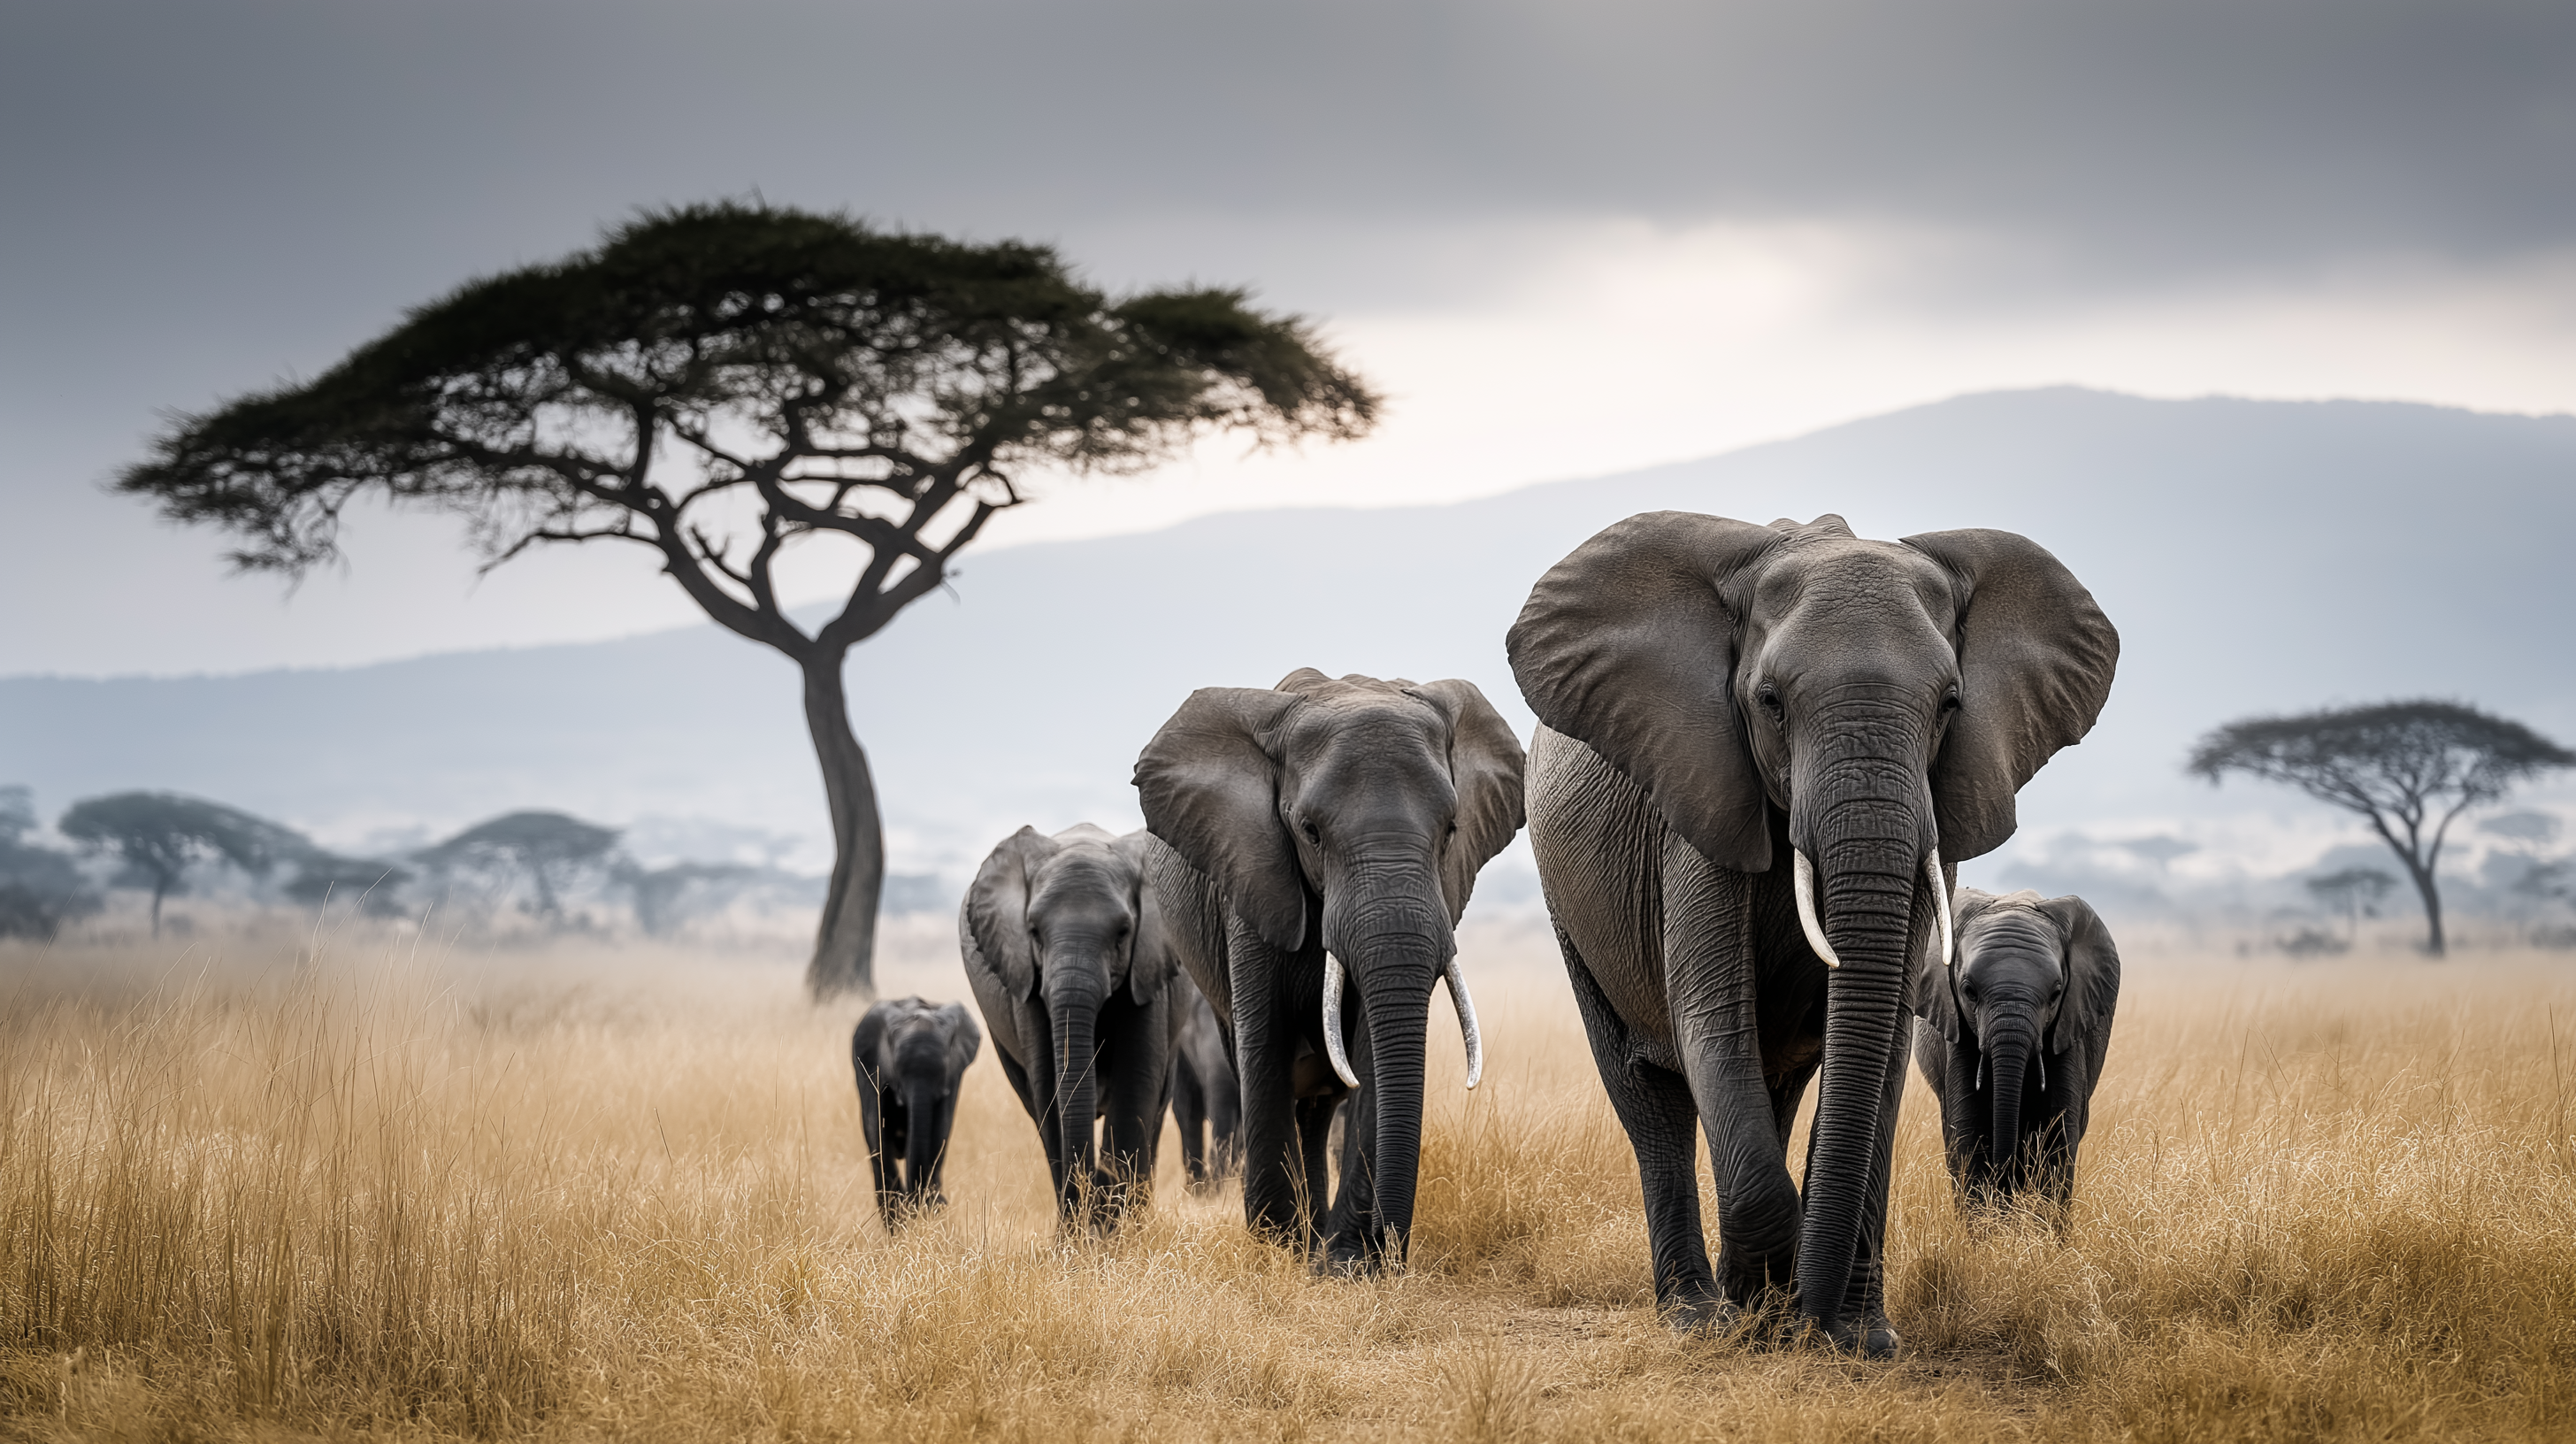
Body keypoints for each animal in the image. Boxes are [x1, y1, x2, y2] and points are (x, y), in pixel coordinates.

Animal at [851, 997, 983, 1229]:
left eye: (942, 1072)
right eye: (897, 1069)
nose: (943, 1202)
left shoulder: (953, 1078)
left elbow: (939, 1136)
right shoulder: (871, 1071)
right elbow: (877, 1136)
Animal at [960, 823, 1179, 1229]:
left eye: (1123, 932)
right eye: (1033, 932)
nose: (1095, 1180)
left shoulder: (1149, 968)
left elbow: (1136, 1084)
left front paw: (1117, 1233)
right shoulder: (1026, 981)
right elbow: (1048, 1088)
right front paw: (1078, 1235)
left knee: (1157, 1105)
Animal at [1911, 888, 2121, 1215]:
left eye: (2055, 994)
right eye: (1969, 992)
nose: (2006, 1180)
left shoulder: (2069, 1029)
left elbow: (2057, 1133)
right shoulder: (1956, 1031)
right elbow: (1968, 1133)